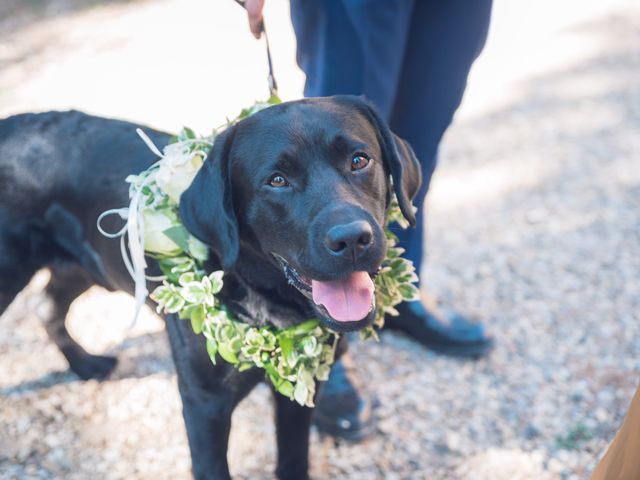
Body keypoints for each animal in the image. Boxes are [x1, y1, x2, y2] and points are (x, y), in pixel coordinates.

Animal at [0, 95, 422, 478]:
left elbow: (293, 457)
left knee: (47, 307)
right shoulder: (205, 405)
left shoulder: (298, 394)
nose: (352, 239)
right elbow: (213, 467)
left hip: (82, 268)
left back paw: (86, 364)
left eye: (359, 160)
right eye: (277, 181)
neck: (265, 301)